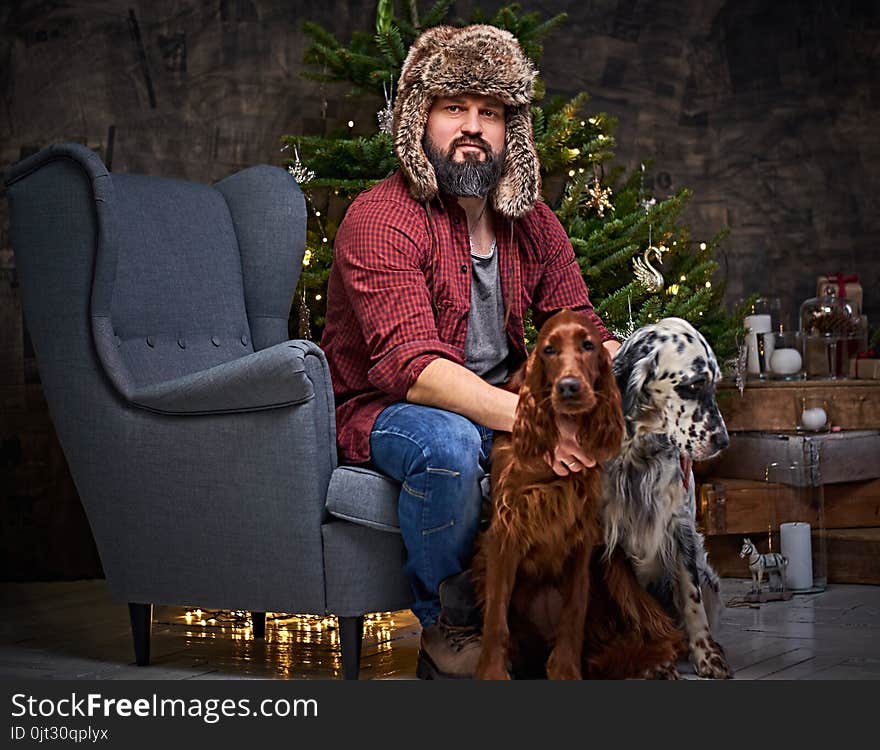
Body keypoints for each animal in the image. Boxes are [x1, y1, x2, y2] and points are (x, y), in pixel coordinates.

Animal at [474, 312, 680, 680]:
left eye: (588, 345)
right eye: (549, 349)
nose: (569, 387)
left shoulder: (581, 537)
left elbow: (572, 615)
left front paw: (566, 673)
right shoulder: (505, 530)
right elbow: (496, 618)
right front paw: (492, 674)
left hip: (614, 567)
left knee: (661, 630)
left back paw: (656, 660)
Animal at [600, 318, 732, 680]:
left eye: (714, 384)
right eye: (692, 386)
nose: (723, 442)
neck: (638, 453)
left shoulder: (680, 525)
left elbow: (691, 598)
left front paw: (707, 656)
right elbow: (630, 606)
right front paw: (651, 664)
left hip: (711, 579)